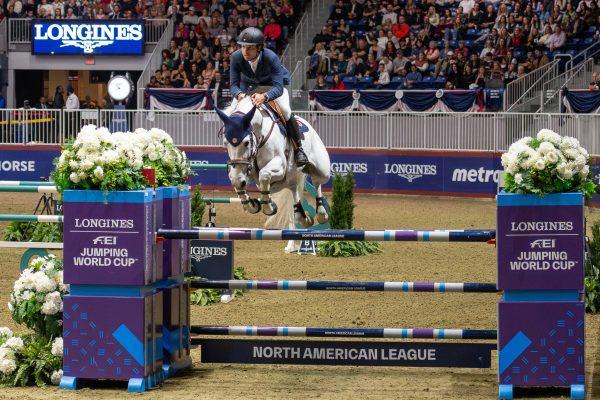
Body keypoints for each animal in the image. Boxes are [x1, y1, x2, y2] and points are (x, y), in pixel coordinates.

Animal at [214, 96, 330, 228]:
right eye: (225, 143)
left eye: (246, 142)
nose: (240, 180)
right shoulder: (244, 171)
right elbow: (235, 181)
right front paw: (252, 205)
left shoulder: (279, 166)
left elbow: (264, 175)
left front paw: (269, 207)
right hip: (287, 180)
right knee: (293, 188)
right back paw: (302, 217)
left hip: (322, 170)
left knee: (317, 182)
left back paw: (321, 213)